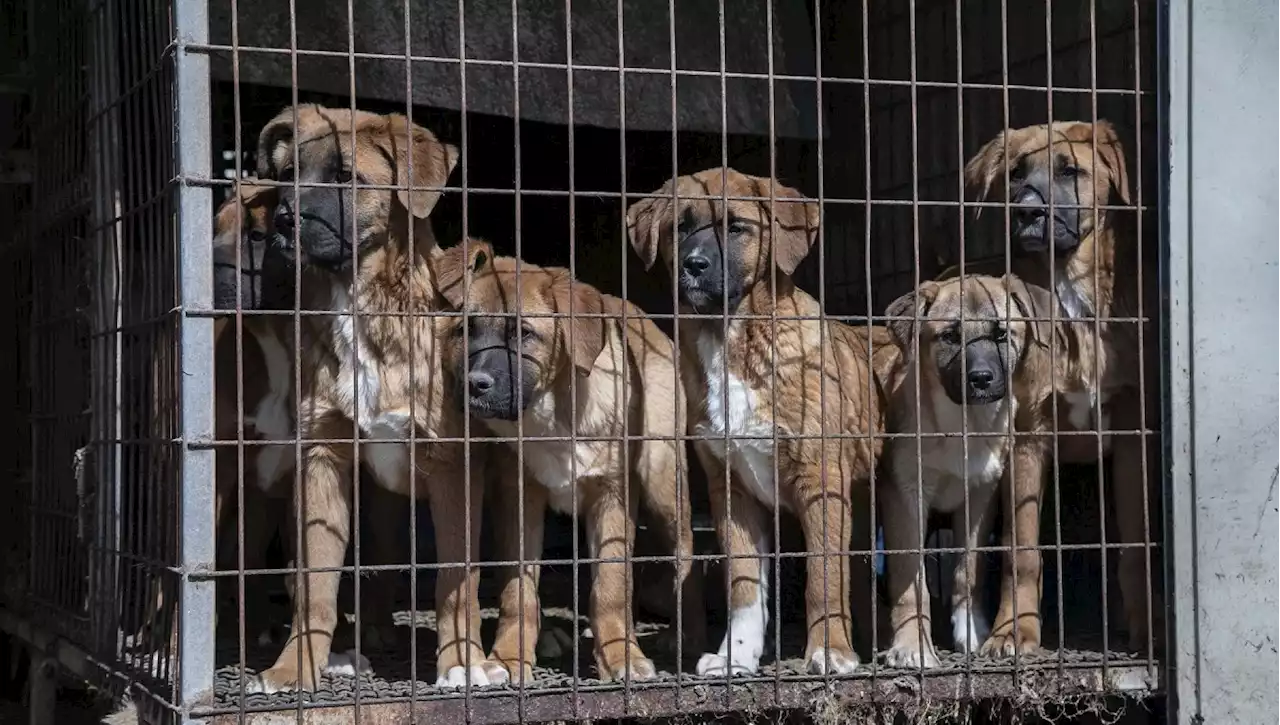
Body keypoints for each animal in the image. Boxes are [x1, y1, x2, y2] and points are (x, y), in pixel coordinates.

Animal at [241, 103, 481, 691]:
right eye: (289, 175)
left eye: (347, 177)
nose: (284, 221)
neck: (362, 304)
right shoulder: (323, 457)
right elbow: (315, 585)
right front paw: (296, 666)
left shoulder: (453, 466)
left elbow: (454, 583)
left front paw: (462, 662)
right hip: (379, 498)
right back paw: (368, 634)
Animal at [435, 242, 706, 686]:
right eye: (465, 331)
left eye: (524, 334)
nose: (474, 385)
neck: (552, 412)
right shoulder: (518, 497)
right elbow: (519, 590)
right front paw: (511, 656)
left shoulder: (613, 496)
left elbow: (611, 585)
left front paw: (620, 655)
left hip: (663, 479)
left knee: (685, 552)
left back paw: (688, 636)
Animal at [624, 169, 896, 676]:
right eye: (679, 228)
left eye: (736, 227)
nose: (693, 265)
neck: (733, 339)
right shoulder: (732, 491)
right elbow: (744, 586)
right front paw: (736, 655)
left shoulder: (821, 481)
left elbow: (823, 575)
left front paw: (829, 650)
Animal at [880, 274, 1059, 671]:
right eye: (949, 336)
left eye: (1002, 334)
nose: (981, 379)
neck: (961, 426)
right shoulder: (905, 495)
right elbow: (910, 580)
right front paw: (913, 644)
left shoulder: (979, 496)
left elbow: (969, 570)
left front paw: (972, 631)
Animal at [952, 121, 1162, 660]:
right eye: (1014, 174)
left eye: (1070, 171)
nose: (1027, 211)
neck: (1070, 297)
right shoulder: (1028, 437)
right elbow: (1021, 551)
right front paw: (1013, 632)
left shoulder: (1130, 437)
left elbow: (1135, 546)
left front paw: (1146, 632)